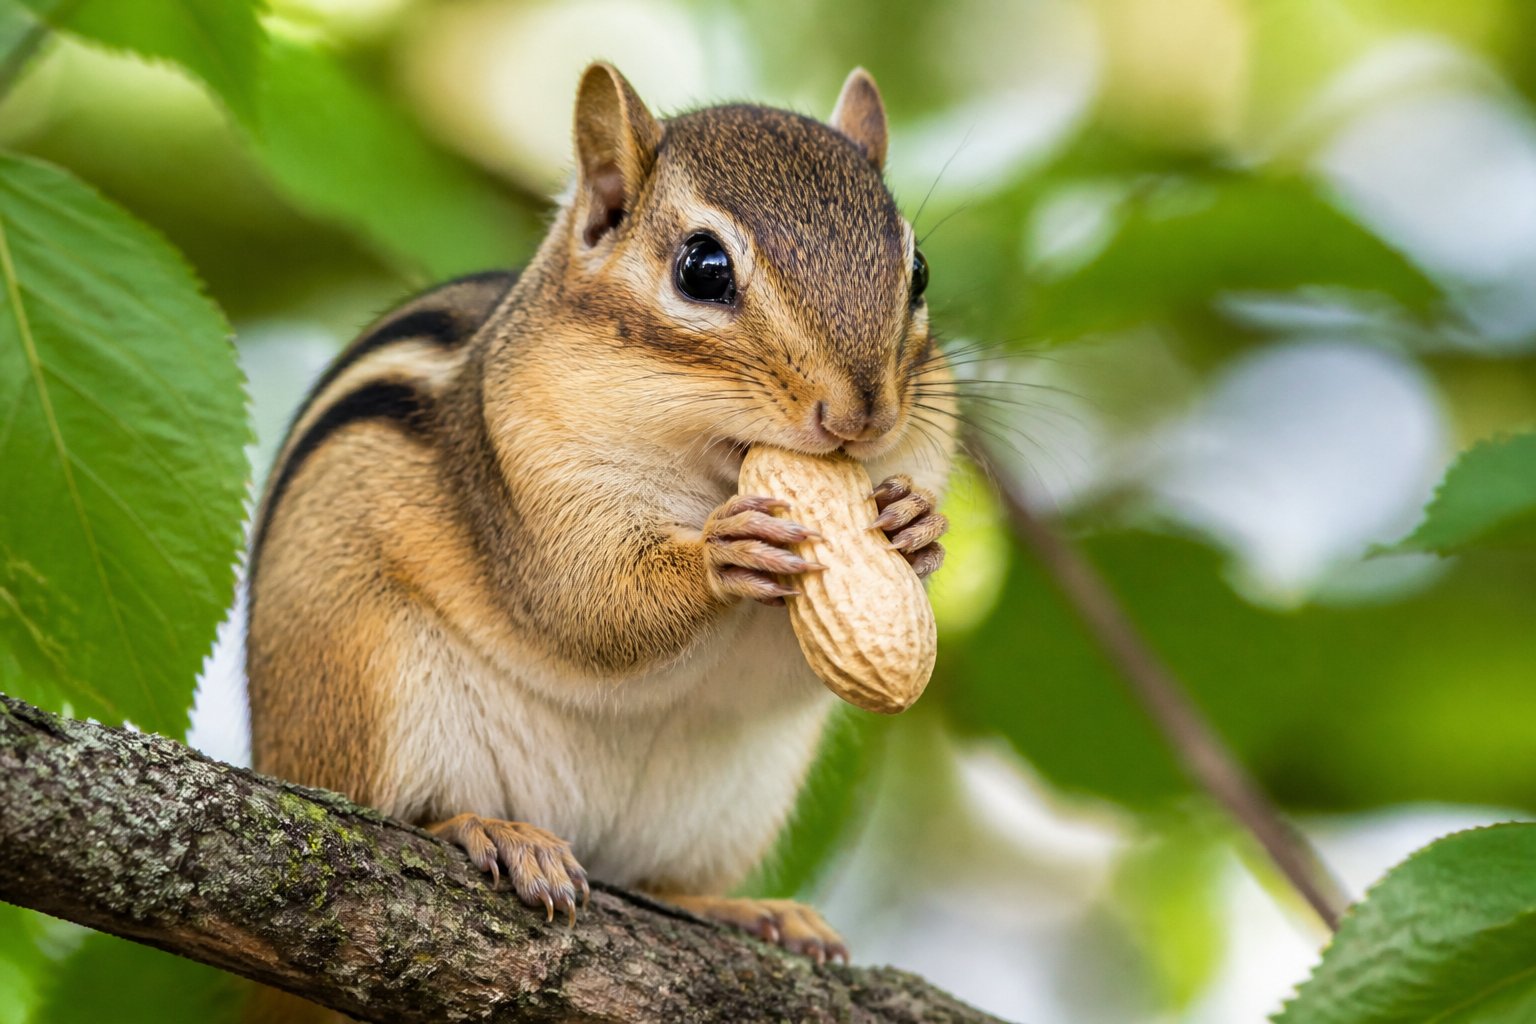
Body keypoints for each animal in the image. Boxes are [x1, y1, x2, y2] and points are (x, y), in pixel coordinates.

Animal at [245, 62, 956, 1017]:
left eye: (918, 271)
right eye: (703, 268)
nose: (861, 418)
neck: (708, 470)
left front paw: (916, 527)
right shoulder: (523, 478)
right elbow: (586, 606)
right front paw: (721, 556)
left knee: (662, 881)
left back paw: (747, 910)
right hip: (361, 678)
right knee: (391, 813)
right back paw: (492, 830)